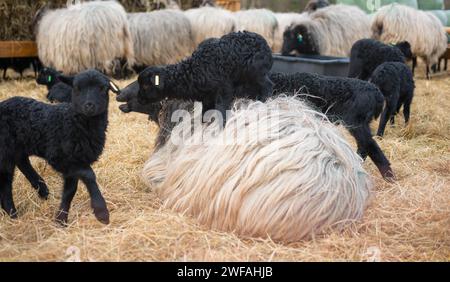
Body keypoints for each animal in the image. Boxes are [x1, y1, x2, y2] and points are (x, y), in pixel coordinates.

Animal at [0, 69, 121, 225]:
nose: (89, 105)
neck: (73, 122)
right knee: (5, 183)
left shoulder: (76, 161)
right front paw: (101, 212)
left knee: (21, 163)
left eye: (103, 88)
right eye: (76, 88)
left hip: (17, 147)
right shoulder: (60, 158)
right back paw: (13, 214)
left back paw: (41, 191)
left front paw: (61, 219)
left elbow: (70, 191)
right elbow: (89, 175)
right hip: (5, 150)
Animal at [133, 31, 274, 121]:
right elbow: (204, 115)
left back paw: (263, 101)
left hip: (256, 72)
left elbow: (221, 109)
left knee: (268, 85)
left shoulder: (224, 89)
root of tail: (266, 45)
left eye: (145, 86)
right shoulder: (207, 97)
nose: (138, 99)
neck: (193, 71)